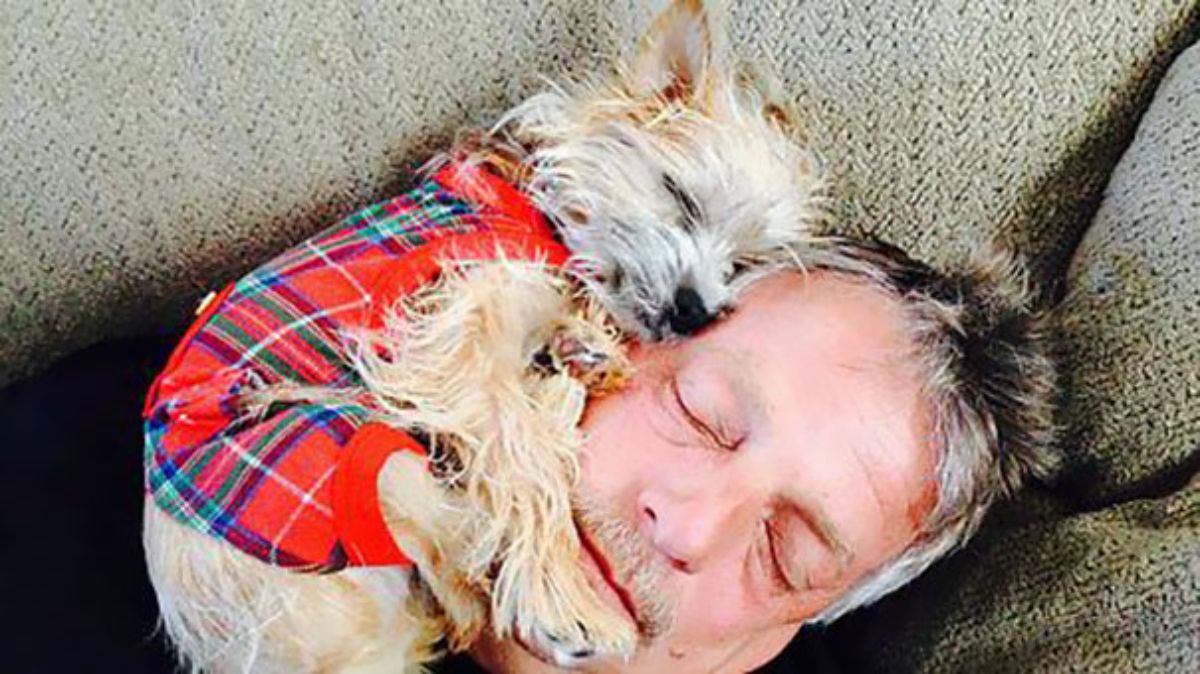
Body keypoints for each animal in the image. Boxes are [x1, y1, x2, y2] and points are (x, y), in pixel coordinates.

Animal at [142, 2, 825, 666]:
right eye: (681, 197)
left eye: (740, 263)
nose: (694, 311)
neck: (529, 201)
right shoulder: (459, 330)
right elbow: (525, 462)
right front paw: (563, 601)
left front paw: (586, 341)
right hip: (358, 458)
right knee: (465, 560)